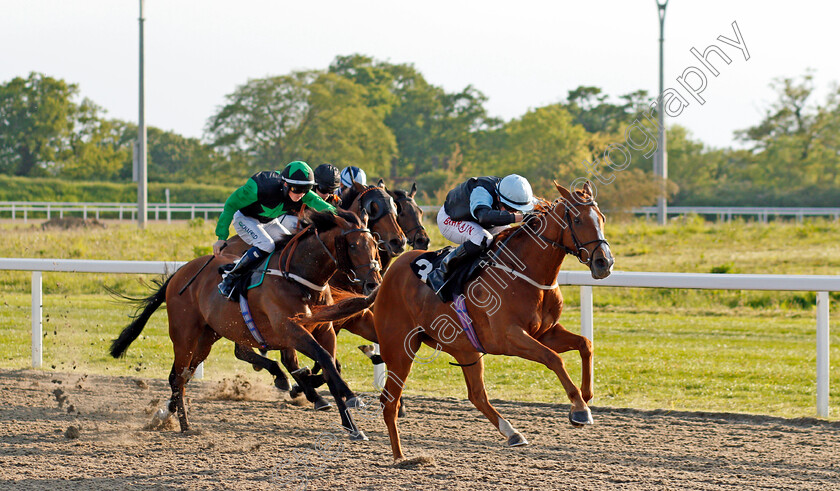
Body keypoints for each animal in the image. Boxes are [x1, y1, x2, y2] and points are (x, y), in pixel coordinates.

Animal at [108, 209, 380, 440]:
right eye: (353, 245)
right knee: (178, 377)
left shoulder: (325, 329)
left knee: (184, 375)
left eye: (375, 245)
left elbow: (330, 365)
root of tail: (179, 274)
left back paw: (170, 412)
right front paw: (350, 397)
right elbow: (324, 360)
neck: (298, 277)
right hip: (184, 335)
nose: (373, 283)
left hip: (208, 337)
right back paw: (184, 425)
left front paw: (352, 425)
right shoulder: (290, 329)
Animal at [296, 182, 612, 462]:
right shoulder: (509, 337)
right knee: (389, 401)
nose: (604, 263)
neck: (526, 273)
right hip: (400, 349)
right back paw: (400, 457)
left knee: (476, 395)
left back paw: (512, 433)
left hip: (464, 348)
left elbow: (585, 344)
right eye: (577, 219)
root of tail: (384, 280)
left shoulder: (545, 332)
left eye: (602, 218)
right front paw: (579, 409)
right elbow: (554, 359)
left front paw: (586, 395)